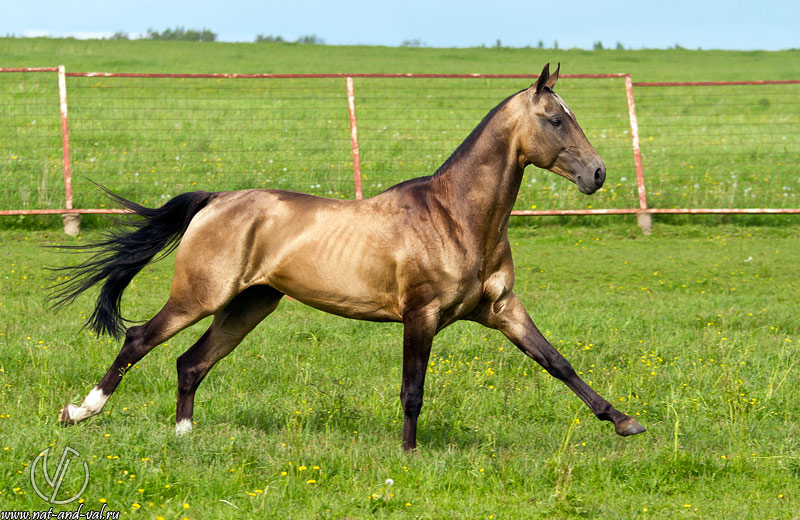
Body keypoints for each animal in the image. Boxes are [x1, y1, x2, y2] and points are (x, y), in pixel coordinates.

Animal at [54, 63, 644, 448]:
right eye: (555, 119)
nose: (597, 174)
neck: (457, 217)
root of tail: (216, 199)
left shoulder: (502, 309)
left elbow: (557, 362)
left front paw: (624, 421)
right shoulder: (421, 315)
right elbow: (412, 390)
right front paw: (409, 456)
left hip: (249, 305)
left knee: (190, 363)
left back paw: (184, 435)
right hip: (199, 297)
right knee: (138, 340)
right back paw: (78, 412)